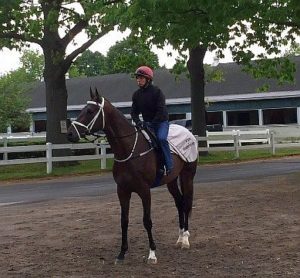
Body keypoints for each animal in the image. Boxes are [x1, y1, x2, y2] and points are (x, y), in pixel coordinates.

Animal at [66, 88, 198, 264]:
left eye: (90, 111)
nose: (70, 134)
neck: (129, 150)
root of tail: (189, 134)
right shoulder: (122, 191)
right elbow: (124, 221)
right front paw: (122, 253)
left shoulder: (144, 191)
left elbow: (147, 221)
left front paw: (152, 253)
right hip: (171, 180)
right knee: (180, 202)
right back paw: (179, 237)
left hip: (187, 176)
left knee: (187, 203)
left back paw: (185, 240)